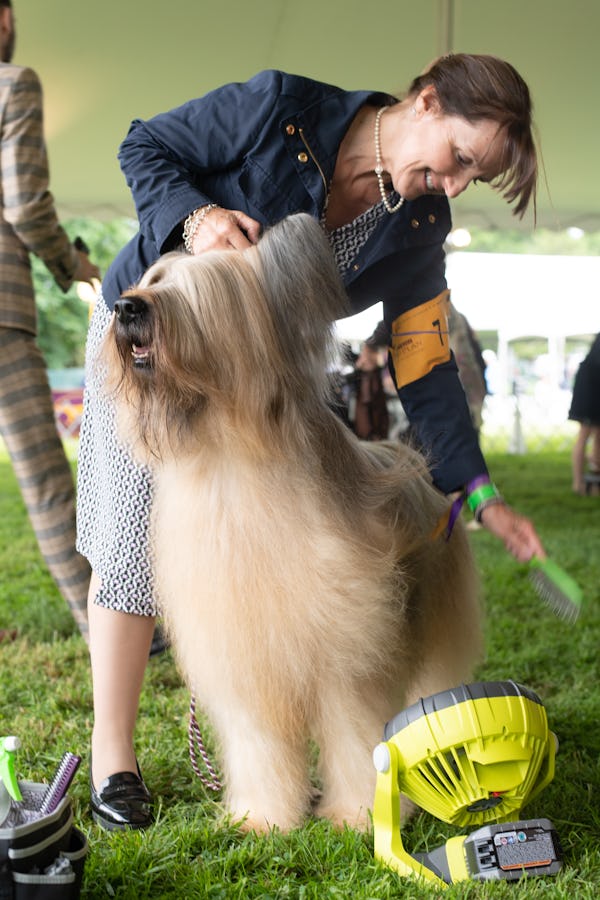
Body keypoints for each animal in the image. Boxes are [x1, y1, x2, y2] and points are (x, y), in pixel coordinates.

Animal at [105, 214, 482, 832]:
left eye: (201, 291)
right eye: (153, 278)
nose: (127, 307)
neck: (231, 462)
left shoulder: (345, 655)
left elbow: (353, 736)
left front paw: (358, 814)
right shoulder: (243, 655)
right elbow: (259, 746)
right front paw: (262, 818)